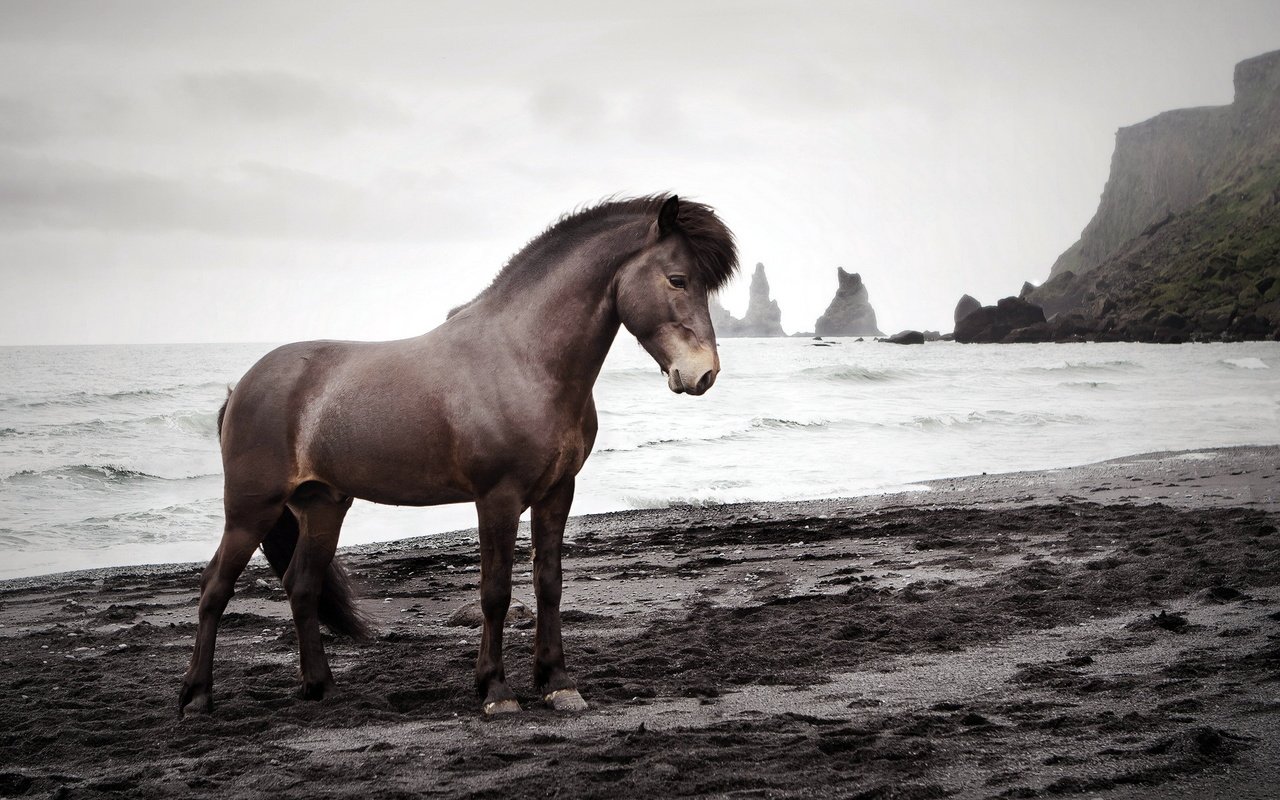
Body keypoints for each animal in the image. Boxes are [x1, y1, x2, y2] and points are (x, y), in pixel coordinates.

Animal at [183, 194, 742, 716]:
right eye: (677, 280)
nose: (703, 374)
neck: (523, 359)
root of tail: (243, 385)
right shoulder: (498, 498)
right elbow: (495, 592)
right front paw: (496, 690)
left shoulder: (557, 493)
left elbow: (549, 584)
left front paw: (558, 683)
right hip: (251, 509)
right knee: (215, 587)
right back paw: (196, 696)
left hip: (322, 506)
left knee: (301, 586)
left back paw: (321, 687)